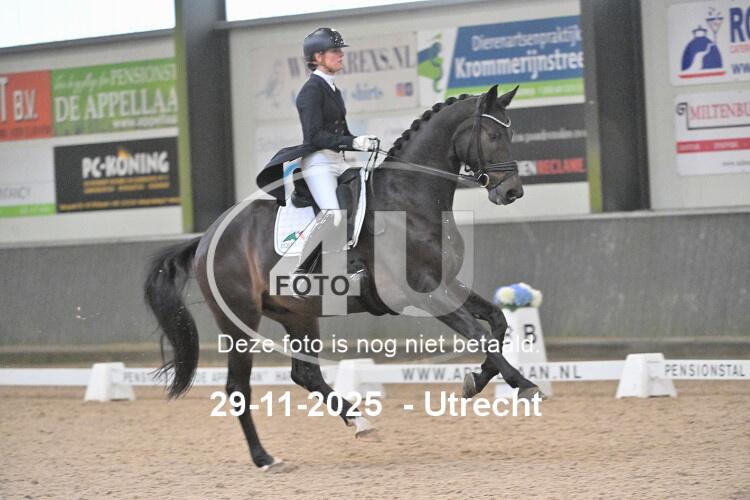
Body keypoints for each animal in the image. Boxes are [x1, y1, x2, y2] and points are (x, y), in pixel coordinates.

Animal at [143, 84, 543, 472]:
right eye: (492, 135)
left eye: (510, 133)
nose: (512, 191)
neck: (410, 200)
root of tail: (206, 238)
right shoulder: (426, 292)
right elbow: (479, 334)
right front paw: (524, 385)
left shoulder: (448, 284)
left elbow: (498, 321)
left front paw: (477, 380)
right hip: (240, 319)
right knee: (237, 386)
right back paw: (265, 458)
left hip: (299, 314)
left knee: (306, 375)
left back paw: (360, 422)